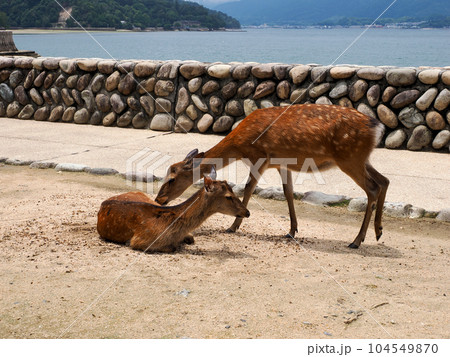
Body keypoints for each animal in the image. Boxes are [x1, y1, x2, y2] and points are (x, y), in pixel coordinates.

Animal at [155, 103, 386, 248]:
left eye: (171, 178)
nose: (159, 199)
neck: (238, 146)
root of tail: (378, 127)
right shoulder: (282, 163)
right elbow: (288, 191)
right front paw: (292, 230)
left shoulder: (260, 157)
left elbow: (248, 187)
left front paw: (233, 226)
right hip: (361, 159)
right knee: (384, 180)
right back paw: (378, 231)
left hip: (349, 158)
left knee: (373, 188)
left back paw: (357, 240)